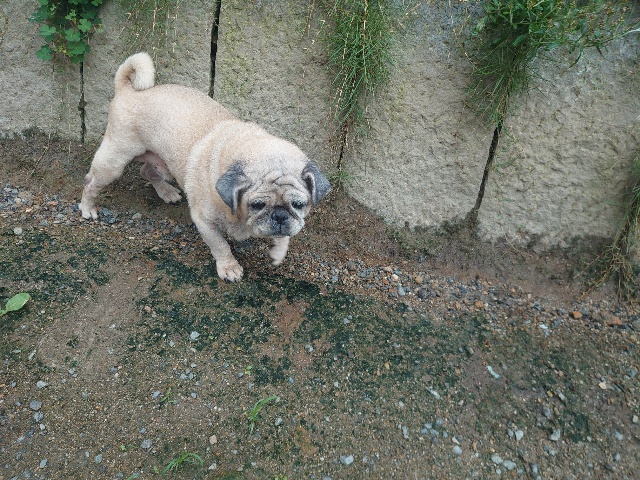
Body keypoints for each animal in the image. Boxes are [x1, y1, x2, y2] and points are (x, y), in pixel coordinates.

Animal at [80, 52, 330, 281]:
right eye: (257, 205)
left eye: (298, 205)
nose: (279, 216)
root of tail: (127, 90)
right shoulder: (204, 222)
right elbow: (220, 245)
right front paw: (229, 267)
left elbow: (285, 236)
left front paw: (279, 250)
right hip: (114, 160)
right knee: (91, 182)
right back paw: (87, 207)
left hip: (160, 161)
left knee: (147, 171)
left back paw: (167, 192)